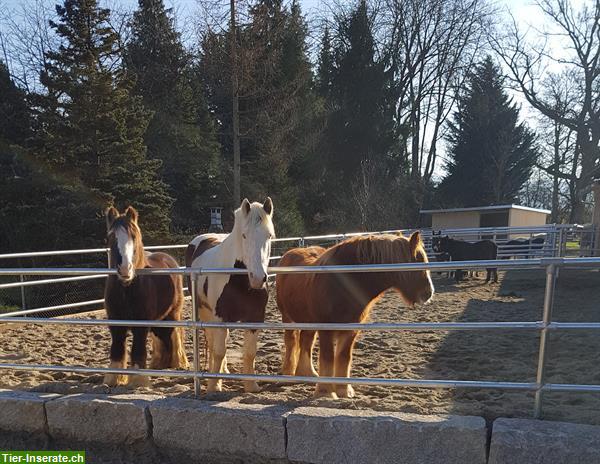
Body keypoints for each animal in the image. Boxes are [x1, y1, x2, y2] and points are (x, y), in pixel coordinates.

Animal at [103, 207, 188, 388]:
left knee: (173, 335)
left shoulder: (141, 325)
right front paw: (112, 379)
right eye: (111, 237)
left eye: (134, 236)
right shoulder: (115, 323)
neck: (127, 290)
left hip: (173, 314)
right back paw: (161, 363)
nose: (125, 269)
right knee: (163, 337)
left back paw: (177, 363)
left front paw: (138, 380)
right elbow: (117, 349)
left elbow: (138, 349)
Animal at [186, 198, 276, 394]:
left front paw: (251, 385)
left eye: (269, 236)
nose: (258, 278)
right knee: (213, 343)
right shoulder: (220, 317)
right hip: (205, 312)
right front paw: (214, 386)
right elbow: (219, 351)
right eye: (244, 235)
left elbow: (250, 352)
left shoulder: (255, 318)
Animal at [274, 232, 434, 398]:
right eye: (418, 261)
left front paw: (344, 391)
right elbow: (327, 357)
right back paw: (288, 373)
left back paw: (309, 374)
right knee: (291, 341)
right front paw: (326, 392)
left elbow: (344, 357)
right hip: (288, 317)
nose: (428, 293)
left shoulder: (351, 329)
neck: (342, 284)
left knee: (306, 342)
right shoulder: (326, 329)